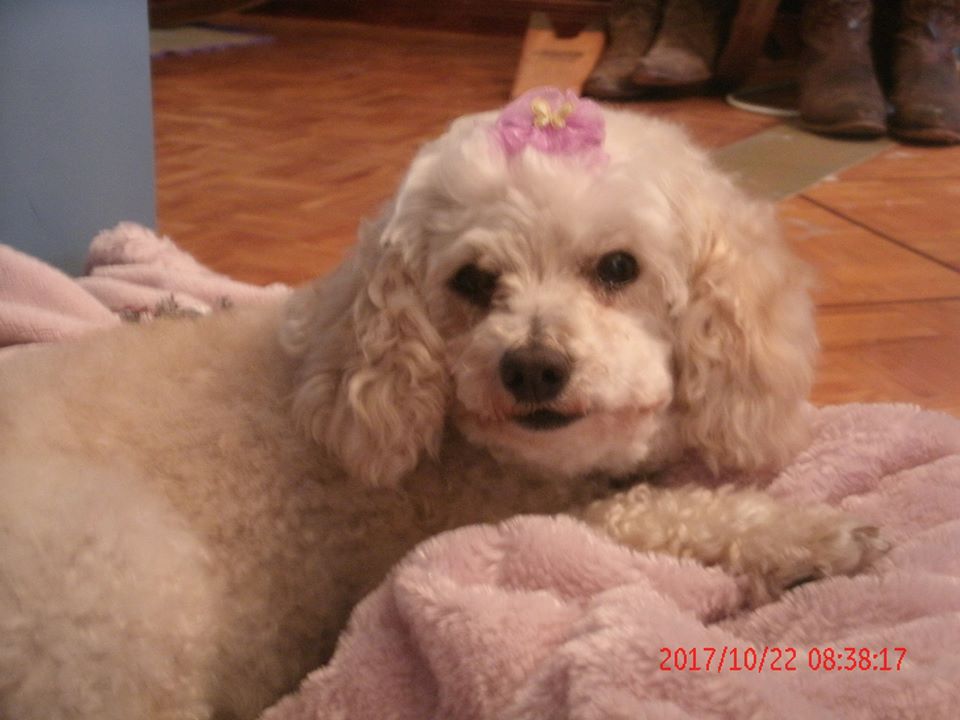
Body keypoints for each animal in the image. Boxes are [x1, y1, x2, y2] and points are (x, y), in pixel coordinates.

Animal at [0, 89, 886, 720]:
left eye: (618, 267)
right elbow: (654, 515)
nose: (532, 368)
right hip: (133, 580)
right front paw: (811, 537)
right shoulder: (512, 520)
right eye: (473, 281)